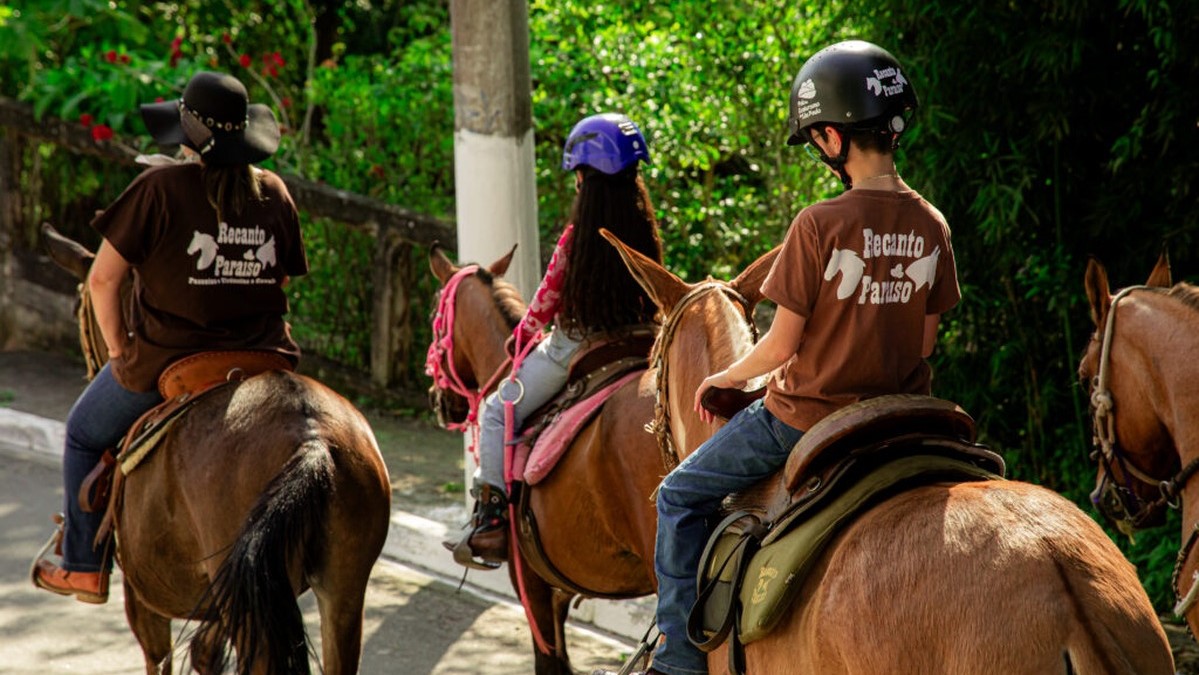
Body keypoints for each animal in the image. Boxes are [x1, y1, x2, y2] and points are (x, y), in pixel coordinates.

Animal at [37, 224, 390, 671]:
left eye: (76, 310)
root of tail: (313, 441)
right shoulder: (226, 595)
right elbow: (205, 652)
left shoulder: (144, 597)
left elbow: (161, 659)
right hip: (340, 591)